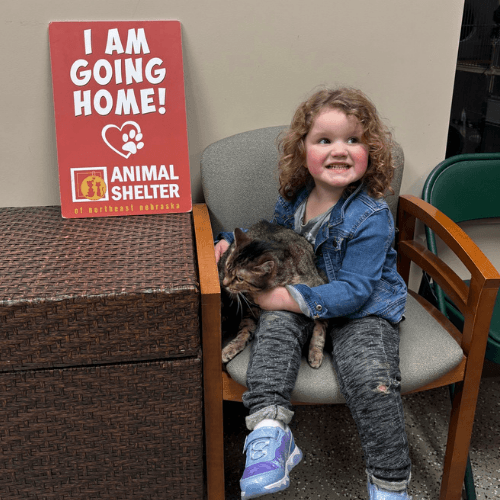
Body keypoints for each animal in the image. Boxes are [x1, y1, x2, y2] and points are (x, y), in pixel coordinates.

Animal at [218, 220, 328, 368]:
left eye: (240, 278)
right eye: (228, 267)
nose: (224, 283)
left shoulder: (318, 293)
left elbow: (320, 327)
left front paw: (315, 352)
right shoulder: (251, 309)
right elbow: (245, 330)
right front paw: (232, 347)